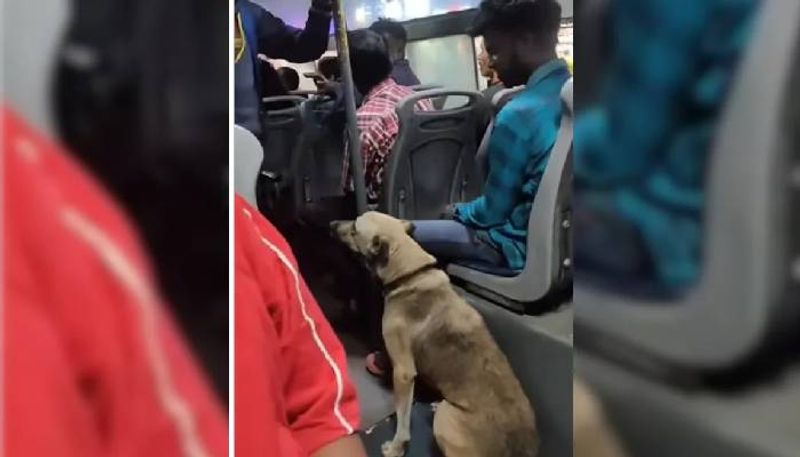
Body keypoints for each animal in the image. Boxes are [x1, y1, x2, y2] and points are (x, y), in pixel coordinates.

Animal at [332, 212, 536, 456]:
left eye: (354, 228)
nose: (331, 224)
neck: (410, 273)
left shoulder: (403, 372)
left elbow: (402, 418)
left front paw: (397, 447)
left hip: (445, 419)